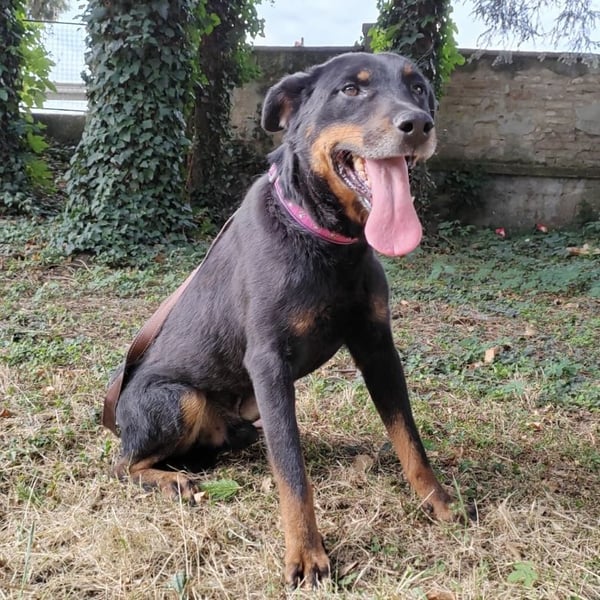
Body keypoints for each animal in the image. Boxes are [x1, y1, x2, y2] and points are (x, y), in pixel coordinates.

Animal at [109, 51, 460, 588]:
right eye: (350, 90)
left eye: (418, 87)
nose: (418, 124)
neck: (325, 238)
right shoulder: (269, 363)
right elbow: (293, 473)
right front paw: (307, 554)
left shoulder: (378, 348)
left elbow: (408, 437)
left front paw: (438, 501)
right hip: (180, 399)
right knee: (124, 464)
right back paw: (170, 481)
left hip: (248, 412)